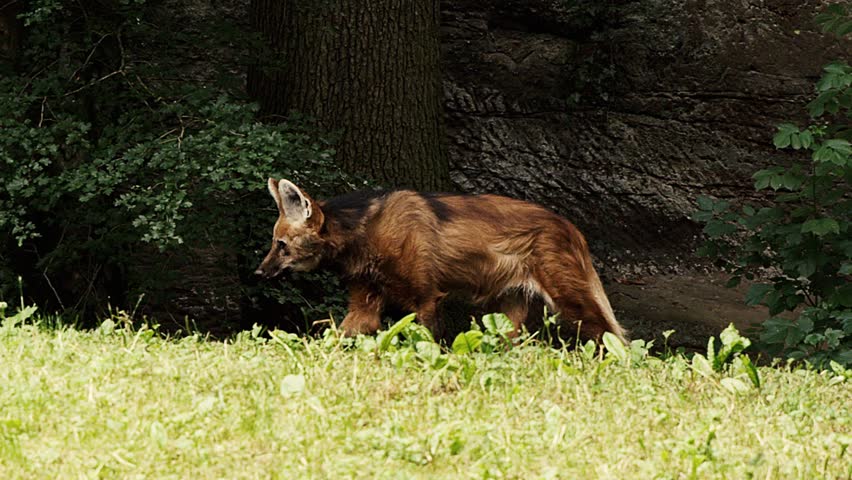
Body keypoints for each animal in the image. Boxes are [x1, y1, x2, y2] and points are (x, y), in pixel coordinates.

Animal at [253, 178, 624, 344]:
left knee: (609, 334)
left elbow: (429, 342)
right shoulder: (365, 301)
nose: (258, 272)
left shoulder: (427, 298)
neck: (365, 234)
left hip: (567, 296)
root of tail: (570, 225)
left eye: (280, 245)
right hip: (509, 307)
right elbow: (340, 335)